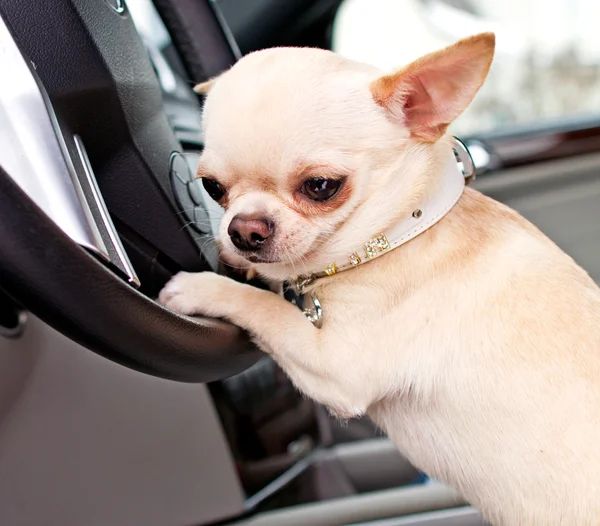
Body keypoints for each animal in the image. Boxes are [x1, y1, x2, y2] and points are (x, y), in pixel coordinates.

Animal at [158, 34, 600, 526]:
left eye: (321, 187)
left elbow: (264, 306)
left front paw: (201, 287)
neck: (398, 232)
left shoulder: (335, 366)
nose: (245, 230)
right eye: (212, 188)